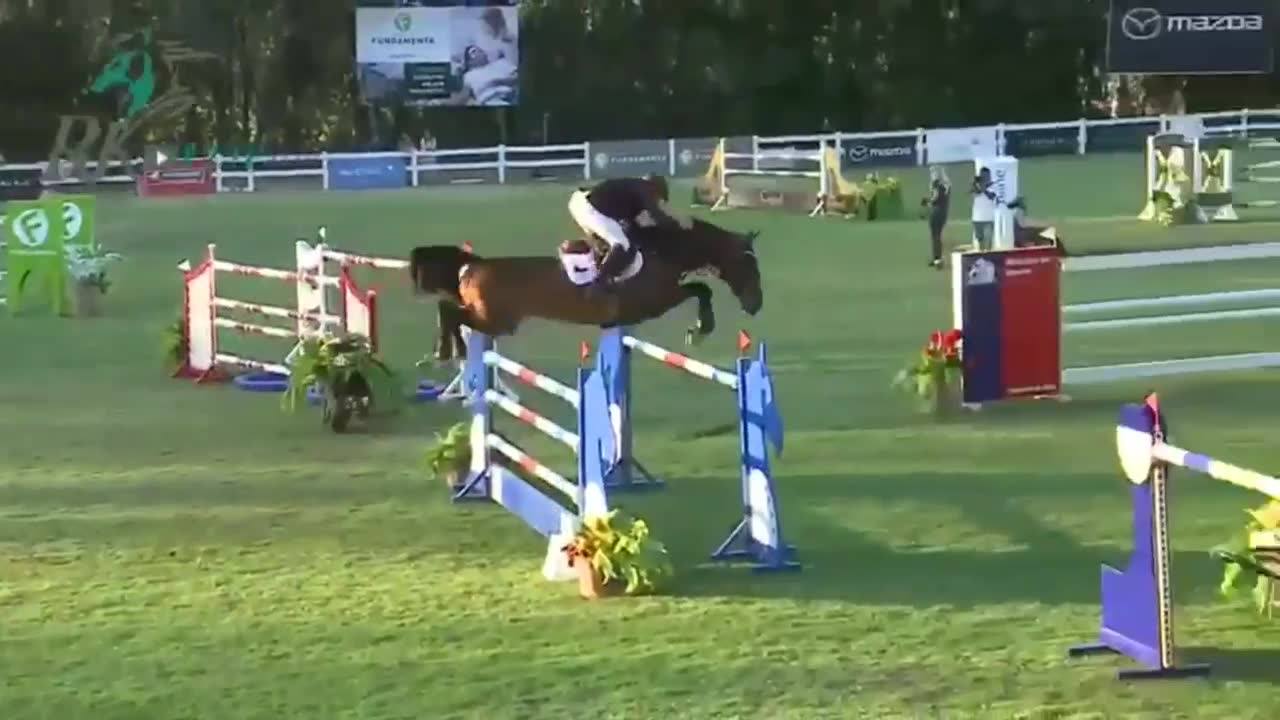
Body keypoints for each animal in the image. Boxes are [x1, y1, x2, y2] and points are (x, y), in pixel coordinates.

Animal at [410, 218, 763, 363]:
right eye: (749, 265)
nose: (756, 305)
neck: (662, 252)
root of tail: (473, 266)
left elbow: (699, 288)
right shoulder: (656, 302)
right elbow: (700, 289)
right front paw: (701, 328)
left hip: (494, 320)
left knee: (449, 312)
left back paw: (447, 349)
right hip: (498, 321)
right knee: (451, 313)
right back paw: (450, 350)